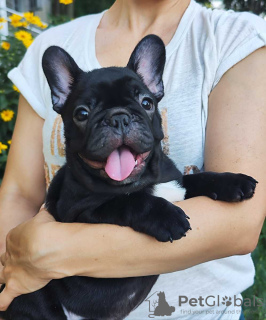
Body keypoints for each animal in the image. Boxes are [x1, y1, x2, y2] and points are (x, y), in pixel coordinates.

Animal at [1, 35, 256, 320]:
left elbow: (197, 179)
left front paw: (233, 181)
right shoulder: (78, 212)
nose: (119, 117)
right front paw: (166, 216)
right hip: (36, 300)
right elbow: (127, 201)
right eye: (82, 114)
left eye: (147, 103)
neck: (143, 180)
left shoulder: (176, 182)